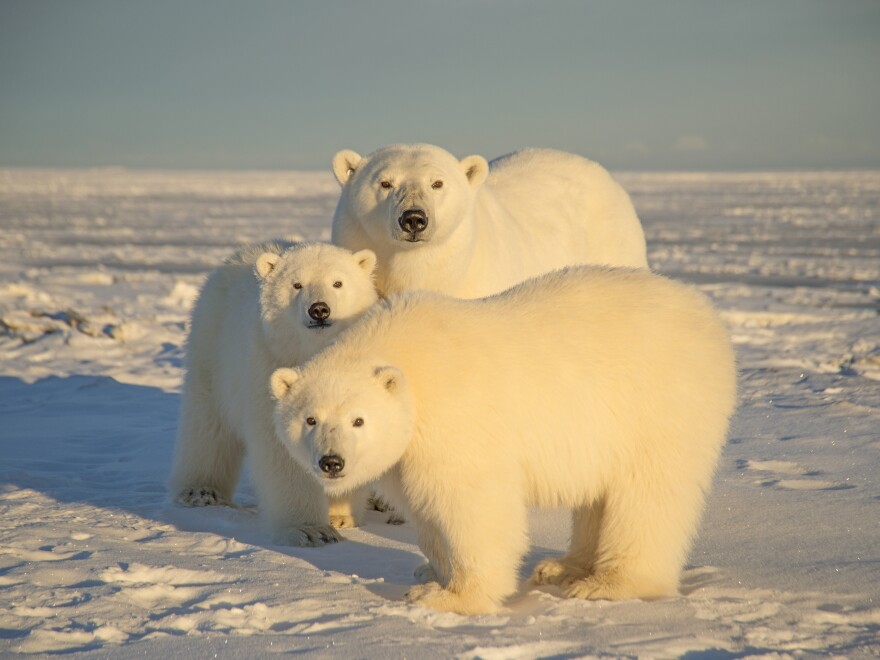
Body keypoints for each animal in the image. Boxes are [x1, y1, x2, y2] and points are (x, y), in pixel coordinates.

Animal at [168, 241, 379, 545]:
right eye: (297, 284)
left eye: (338, 282)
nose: (319, 310)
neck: (312, 352)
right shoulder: (271, 365)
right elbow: (283, 448)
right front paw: (310, 529)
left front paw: (339, 514)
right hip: (213, 350)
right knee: (207, 424)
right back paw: (200, 491)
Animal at [269, 265, 737, 613]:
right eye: (310, 419)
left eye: (359, 420)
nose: (332, 462)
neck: (410, 360)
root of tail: (709, 317)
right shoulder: (409, 450)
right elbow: (424, 507)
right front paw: (430, 573)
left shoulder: (455, 417)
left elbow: (472, 504)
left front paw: (450, 597)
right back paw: (563, 568)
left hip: (658, 404)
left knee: (647, 495)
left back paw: (608, 583)